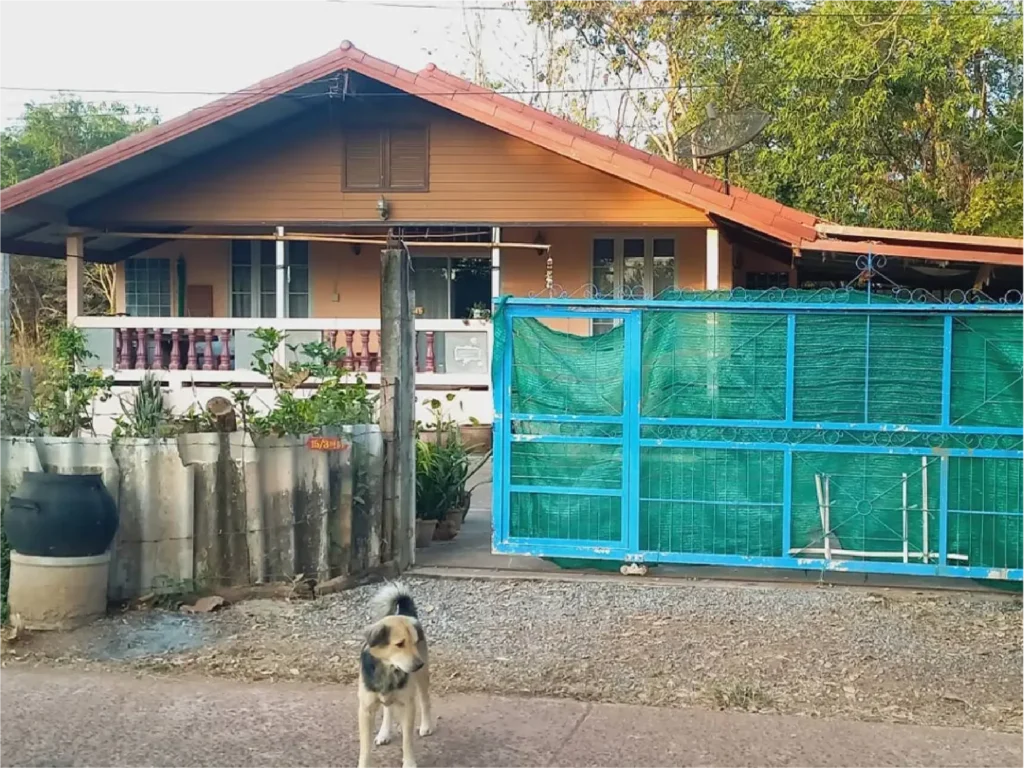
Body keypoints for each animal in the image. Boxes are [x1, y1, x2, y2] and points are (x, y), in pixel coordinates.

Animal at [357, 582, 434, 768]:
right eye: (399, 644)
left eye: (415, 642)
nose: (419, 664)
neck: (388, 669)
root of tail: (405, 612)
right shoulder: (365, 709)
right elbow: (365, 747)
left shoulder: (408, 705)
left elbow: (407, 740)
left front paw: (409, 763)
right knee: (388, 709)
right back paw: (384, 732)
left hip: (422, 678)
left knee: (425, 700)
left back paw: (426, 726)